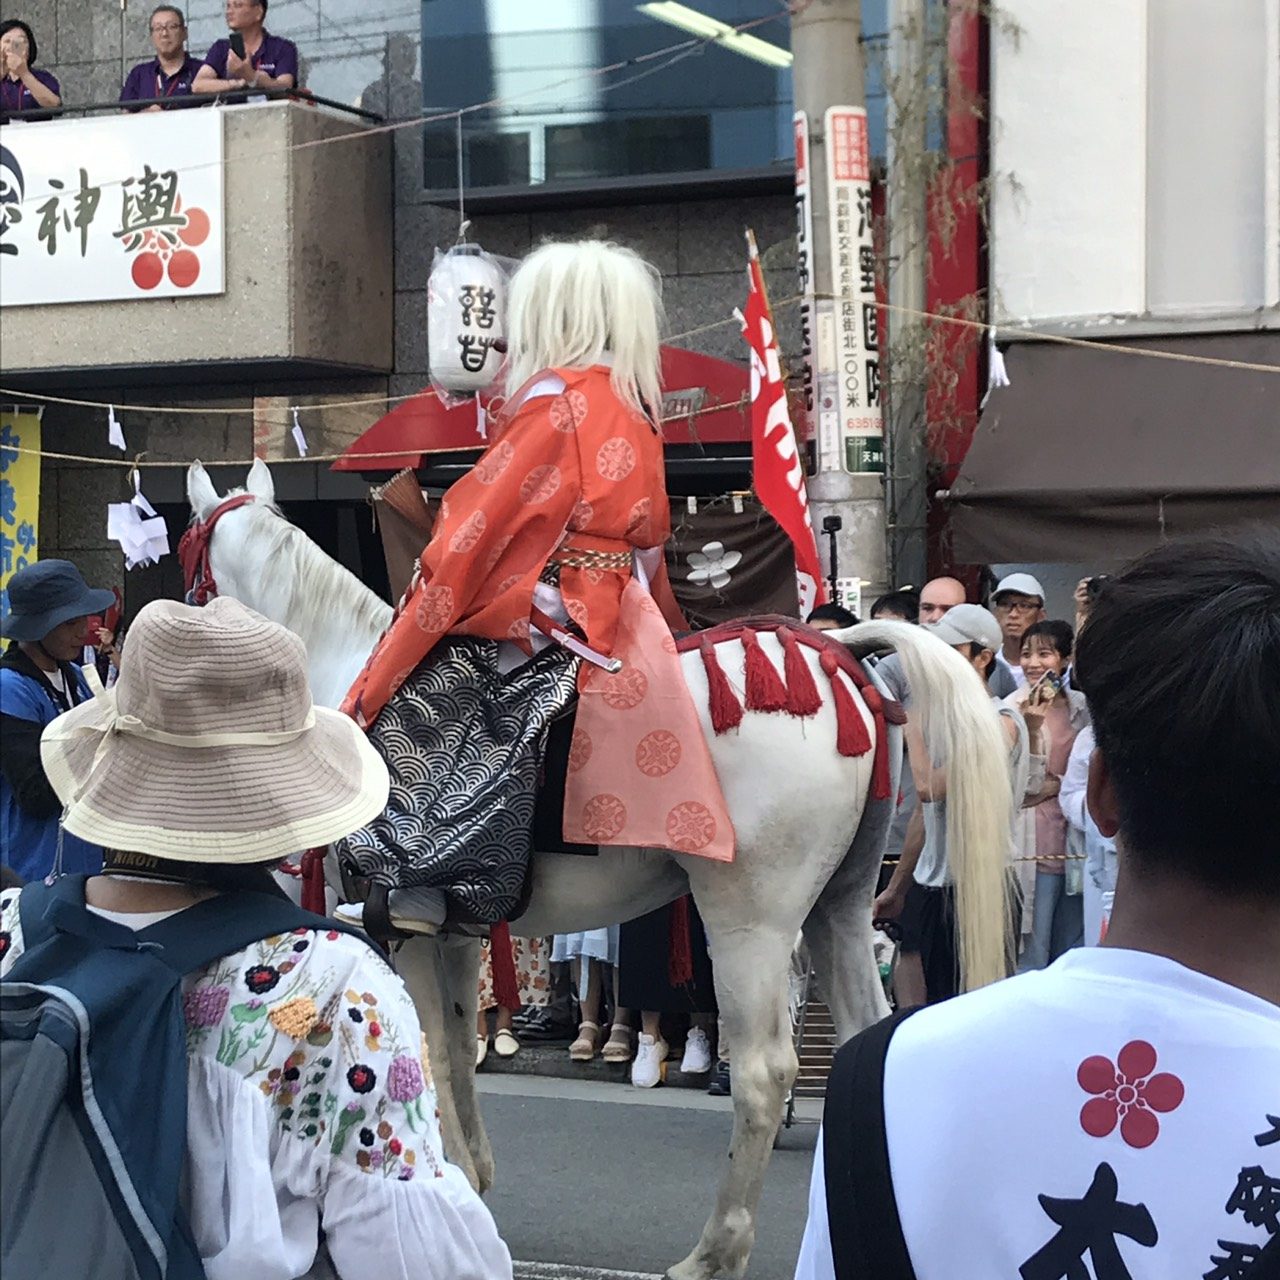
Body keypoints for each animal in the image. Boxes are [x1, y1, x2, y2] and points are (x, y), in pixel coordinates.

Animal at [187, 459, 1013, 1280]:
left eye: (188, 570)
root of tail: (836, 656)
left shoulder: (400, 924)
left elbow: (426, 1051)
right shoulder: (451, 928)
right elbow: (453, 1051)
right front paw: (471, 1184)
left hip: (749, 915)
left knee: (763, 1072)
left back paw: (714, 1253)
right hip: (839, 902)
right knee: (864, 1042)